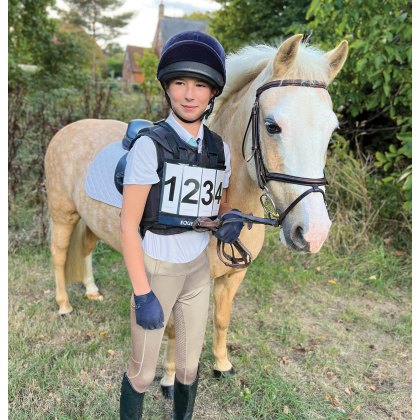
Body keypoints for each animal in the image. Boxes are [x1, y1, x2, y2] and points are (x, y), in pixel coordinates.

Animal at [44, 34, 350, 392]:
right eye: (272, 126)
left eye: (331, 131)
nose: (313, 232)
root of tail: (70, 128)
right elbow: (175, 331)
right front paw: (170, 379)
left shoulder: (233, 276)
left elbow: (221, 318)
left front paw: (222, 364)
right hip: (63, 214)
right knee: (59, 255)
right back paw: (64, 305)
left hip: (90, 221)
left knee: (86, 251)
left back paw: (92, 291)